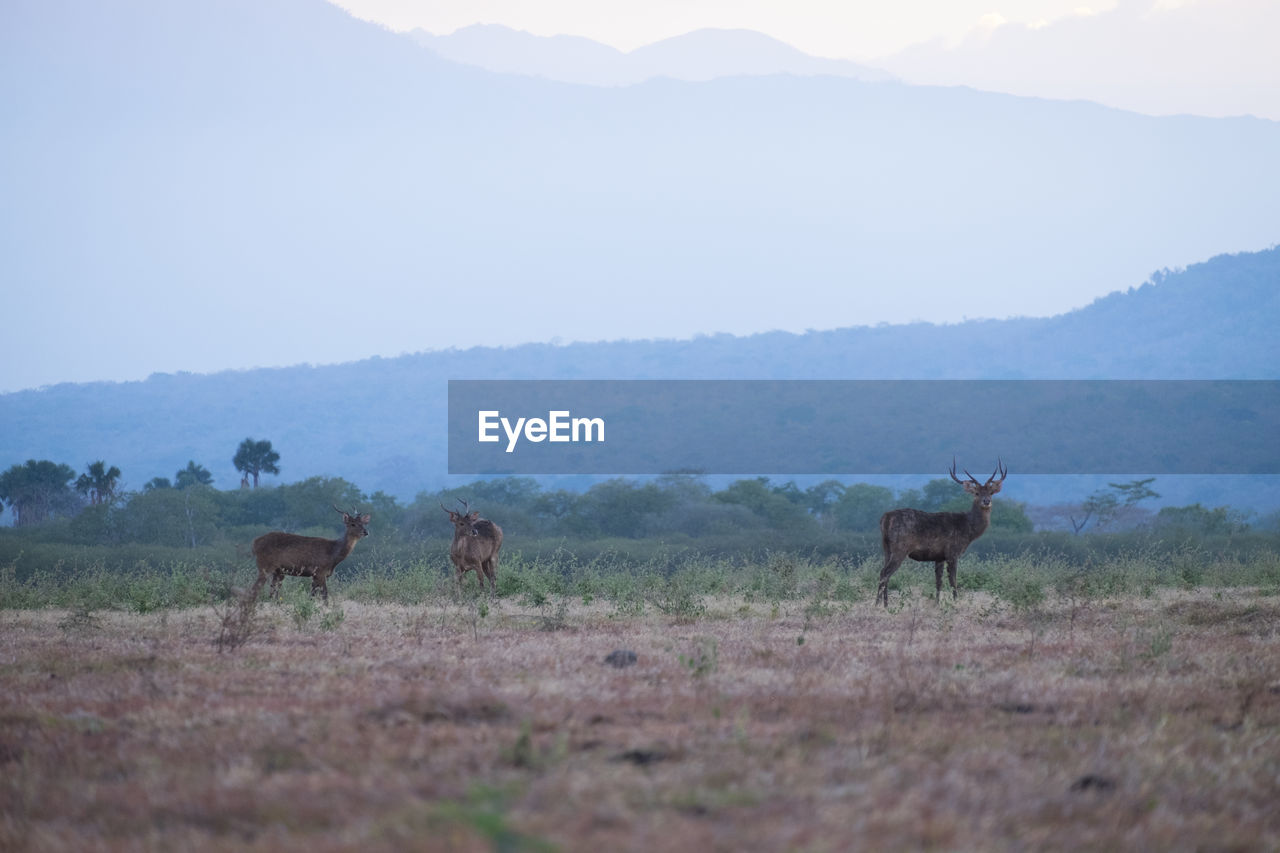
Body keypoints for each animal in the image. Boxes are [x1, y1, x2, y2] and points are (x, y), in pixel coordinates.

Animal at [875, 458, 1003, 604]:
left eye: (991, 492)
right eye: (976, 493)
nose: (986, 501)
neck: (968, 530)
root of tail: (886, 518)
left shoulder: (939, 556)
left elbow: (938, 582)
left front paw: (937, 604)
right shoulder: (952, 552)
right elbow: (953, 581)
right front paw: (955, 602)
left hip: (886, 547)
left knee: (884, 572)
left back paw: (885, 604)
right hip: (900, 547)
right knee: (885, 573)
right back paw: (878, 604)